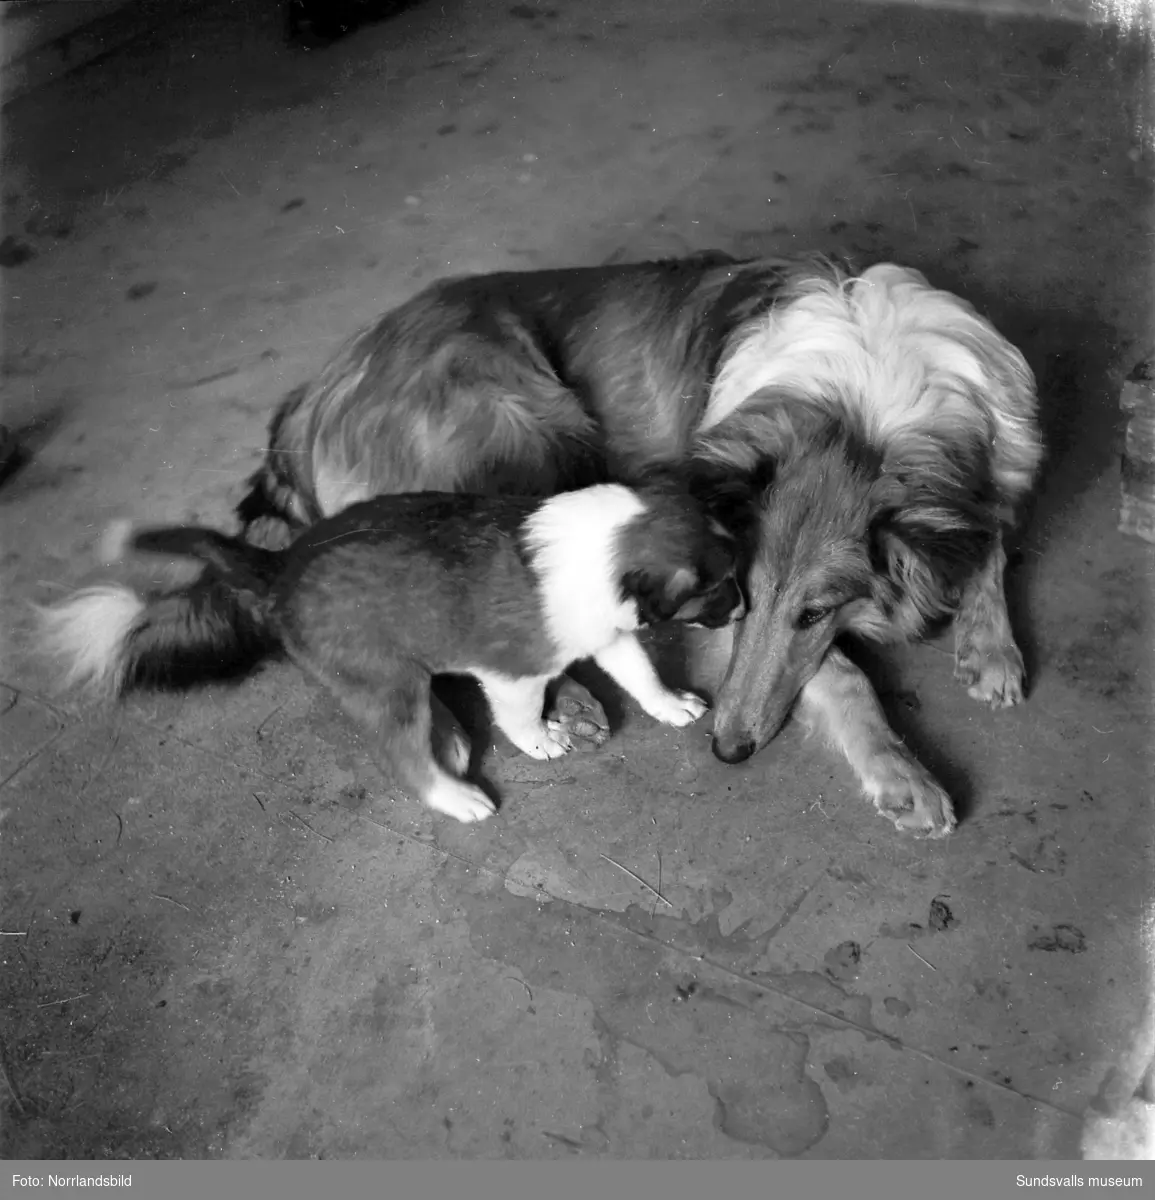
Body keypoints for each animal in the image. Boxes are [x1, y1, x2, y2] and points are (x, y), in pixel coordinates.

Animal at [36, 482, 744, 820]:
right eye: (715, 587)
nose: (744, 608)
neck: (599, 549)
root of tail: (281, 567)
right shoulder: (513, 670)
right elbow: (520, 713)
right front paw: (543, 738)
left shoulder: (609, 631)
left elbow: (640, 673)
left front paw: (673, 704)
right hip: (383, 682)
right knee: (401, 756)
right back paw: (457, 796)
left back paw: (450, 738)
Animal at [236, 253, 1046, 835]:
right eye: (749, 591)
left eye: (816, 612)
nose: (726, 749)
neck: (865, 396)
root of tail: (312, 396)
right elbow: (846, 676)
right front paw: (903, 774)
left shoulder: (992, 465)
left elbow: (990, 544)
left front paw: (991, 648)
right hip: (527, 420)